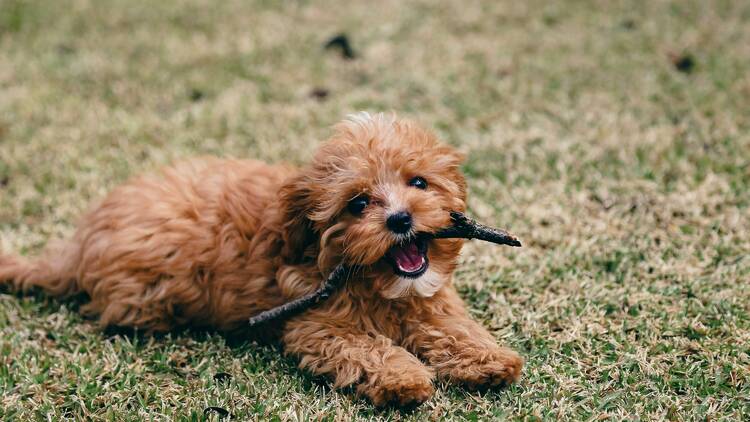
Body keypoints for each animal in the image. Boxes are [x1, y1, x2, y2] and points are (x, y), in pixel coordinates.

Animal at [1, 112, 524, 406]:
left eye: (419, 183)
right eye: (358, 203)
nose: (400, 219)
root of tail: (79, 243)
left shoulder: (430, 299)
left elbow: (452, 324)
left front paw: (488, 357)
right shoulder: (315, 326)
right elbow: (367, 347)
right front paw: (404, 378)